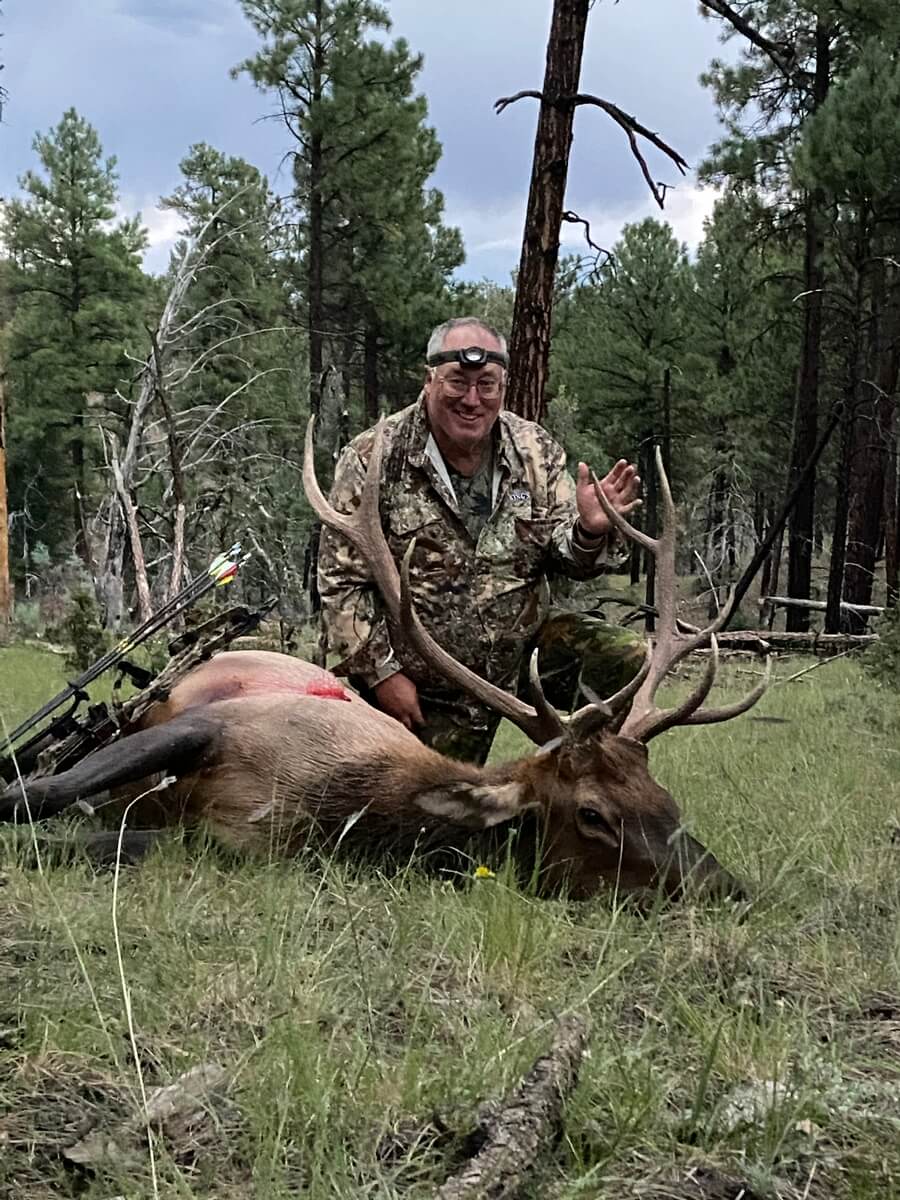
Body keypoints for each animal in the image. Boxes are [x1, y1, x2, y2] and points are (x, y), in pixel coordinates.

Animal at [0, 418, 771, 899]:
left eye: (664, 801)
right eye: (592, 815)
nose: (727, 890)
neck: (341, 805)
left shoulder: (237, 847)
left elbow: (118, 837)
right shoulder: (215, 723)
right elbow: (43, 794)